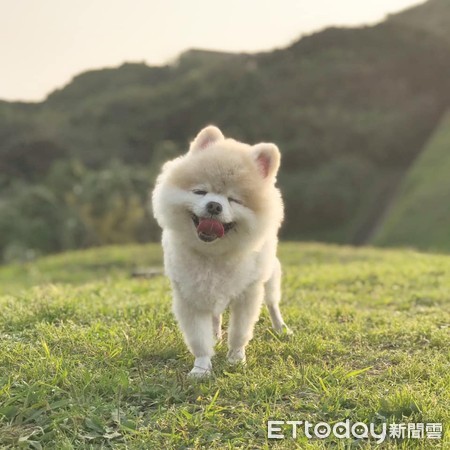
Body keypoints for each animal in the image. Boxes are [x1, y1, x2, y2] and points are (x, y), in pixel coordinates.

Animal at [153, 125, 290, 376]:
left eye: (234, 199)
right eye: (200, 192)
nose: (214, 206)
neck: (213, 254)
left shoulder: (248, 294)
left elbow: (239, 332)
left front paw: (236, 360)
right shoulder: (190, 295)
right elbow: (199, 338)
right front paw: (201, 368)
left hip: (270, 276)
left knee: (273, 303)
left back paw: (281, 328)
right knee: (215, 315)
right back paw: (216, 334)